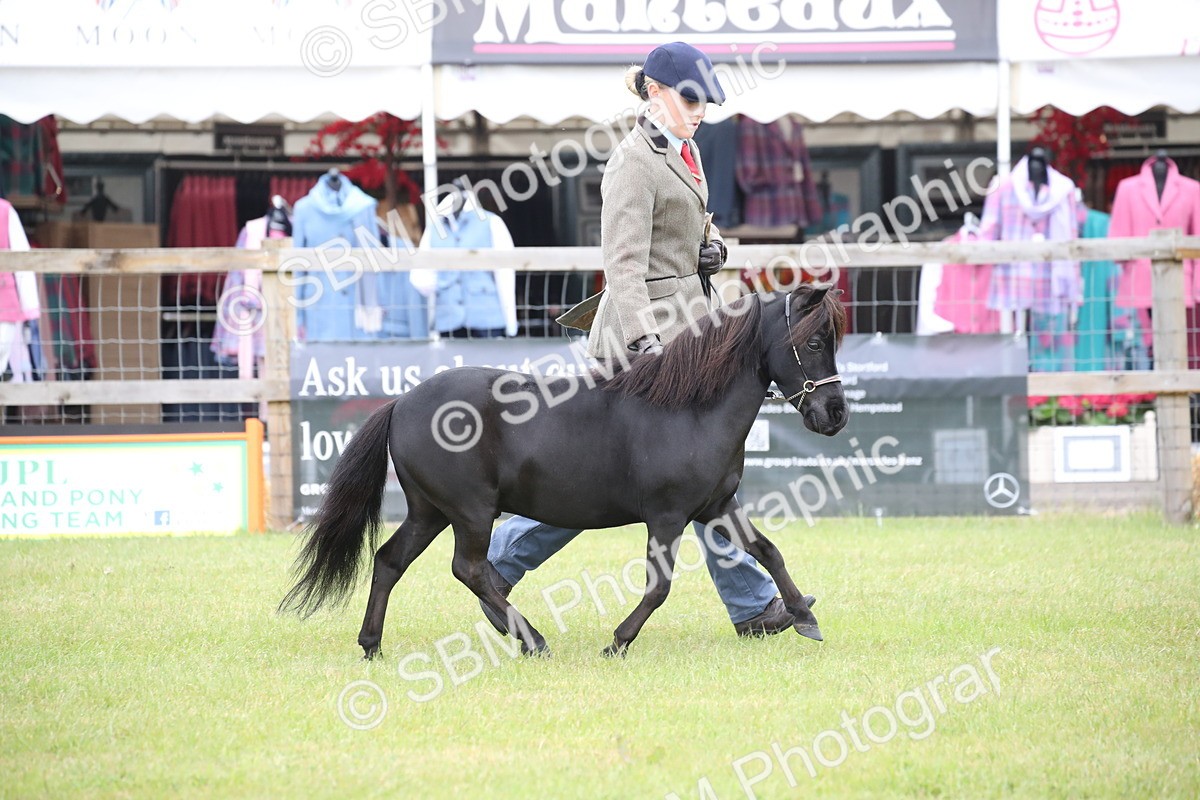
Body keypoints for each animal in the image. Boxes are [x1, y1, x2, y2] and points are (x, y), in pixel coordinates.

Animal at [280, 284, 848, 659]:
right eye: (814, 343)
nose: (836, 415)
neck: (689, 408)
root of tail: (401, 402)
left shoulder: (717, 506)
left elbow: (767, 551)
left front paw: (803, 617)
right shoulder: (667, 516)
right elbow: (659, 586)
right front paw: (618, 641)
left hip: (429, 512)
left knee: (391, 561)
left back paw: (373, 645)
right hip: (470, 510)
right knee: (468, 569)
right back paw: (531, 639)